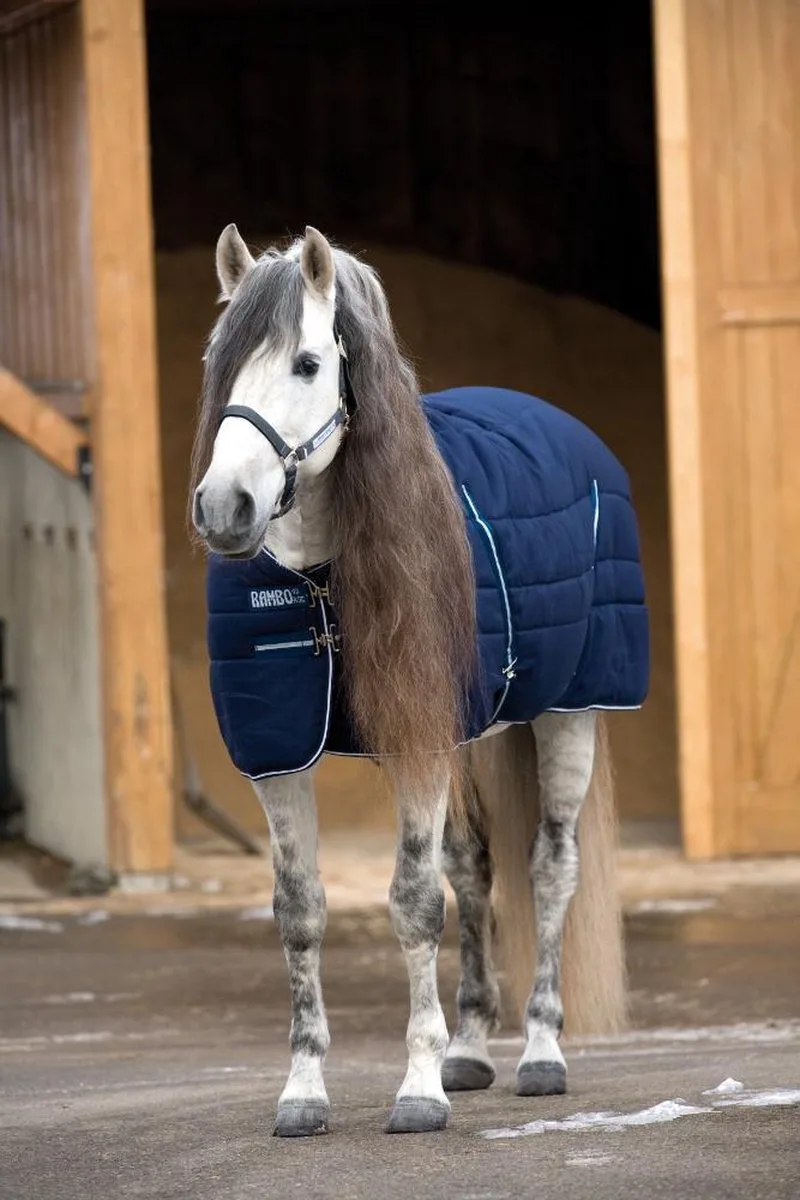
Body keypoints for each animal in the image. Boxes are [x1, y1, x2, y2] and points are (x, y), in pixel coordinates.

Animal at [188, 224, 649, 1138]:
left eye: (306, 364)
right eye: (219, 362)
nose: (225, 508)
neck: (321, 579)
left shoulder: (421, 745)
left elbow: (412, 901)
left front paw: (418, 1088)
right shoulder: (279, 755)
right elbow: (301, 912)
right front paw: (305, 1090)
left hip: (567, 716)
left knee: (550, 868)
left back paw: (540, 1051)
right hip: (477, 734)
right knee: (475, 869)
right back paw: (472, 1048)